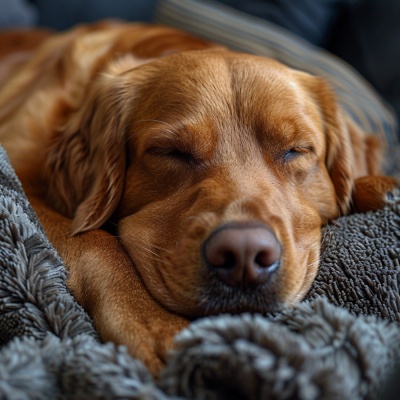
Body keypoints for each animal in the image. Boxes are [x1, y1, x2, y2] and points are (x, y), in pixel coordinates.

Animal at [0, 21, 396, 372]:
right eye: (171, 152)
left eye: (296, 150)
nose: (244, 256)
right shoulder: (23, 181)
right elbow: (96, 242)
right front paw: (152, 324)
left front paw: (384, 187)